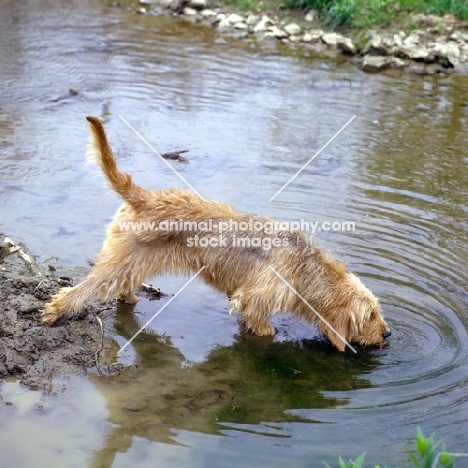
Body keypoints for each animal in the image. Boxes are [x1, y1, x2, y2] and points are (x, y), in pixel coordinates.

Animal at [41, 117, 392, 352]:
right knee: (82, 289)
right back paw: (55, 311)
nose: (387, 334)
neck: (306, 268)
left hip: (133, 260)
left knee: (122, 285)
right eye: (370, 315)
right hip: (118, 262)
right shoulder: (255, 298)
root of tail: (145, 196)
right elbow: (265, 329)